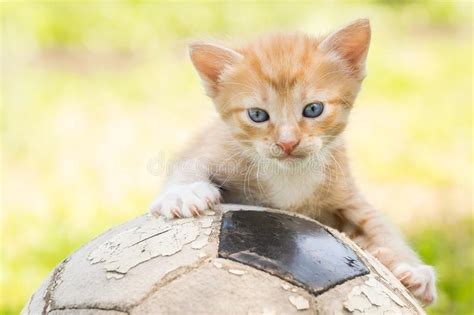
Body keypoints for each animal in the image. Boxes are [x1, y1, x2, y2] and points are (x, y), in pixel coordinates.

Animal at [150, 18, 436, 304]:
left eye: (313, 109)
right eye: (257, 115)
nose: (287, 143)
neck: (289, 174)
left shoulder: (346, 191)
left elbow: (378, 226)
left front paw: (411, 269)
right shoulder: (214, 146)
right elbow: (188, 164)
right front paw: (183, 193)